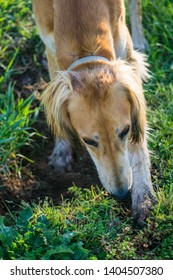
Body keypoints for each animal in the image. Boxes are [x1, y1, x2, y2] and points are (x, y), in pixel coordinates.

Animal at [33, 0, 155, 223]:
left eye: (125, 131)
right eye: (88, 141)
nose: (122, 193)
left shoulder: (126, 56)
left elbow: (138, 141)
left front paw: (143, 196)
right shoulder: (51, 48)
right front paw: (62, 150)